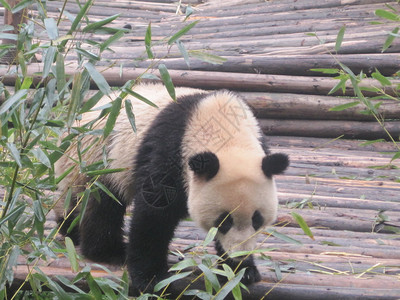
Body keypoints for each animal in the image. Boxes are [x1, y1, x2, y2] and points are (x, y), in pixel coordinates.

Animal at [54, 83, 290, 294]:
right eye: (224, 221)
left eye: (257, 220)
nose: (239, 254)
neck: (226, 131)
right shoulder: (170, 150)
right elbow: (154, 214)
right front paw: (151, 277)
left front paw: (243, 270)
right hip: (101, 159)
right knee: (100, 204)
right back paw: (106, 249)